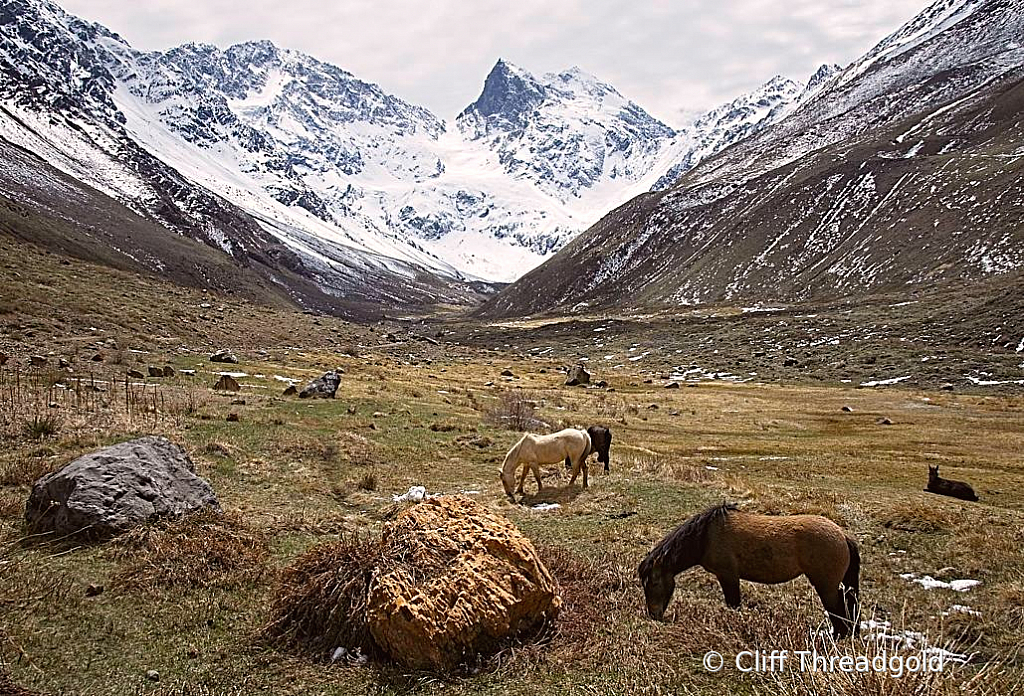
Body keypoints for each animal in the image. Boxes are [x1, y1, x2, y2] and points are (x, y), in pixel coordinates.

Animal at [634, 503, 860, 638]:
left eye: (654, 582)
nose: (654, 615)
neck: (706, 536)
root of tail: (842, 535)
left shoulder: (728, 576)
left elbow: (733, 604)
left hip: (826, 586)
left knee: (838, 611)